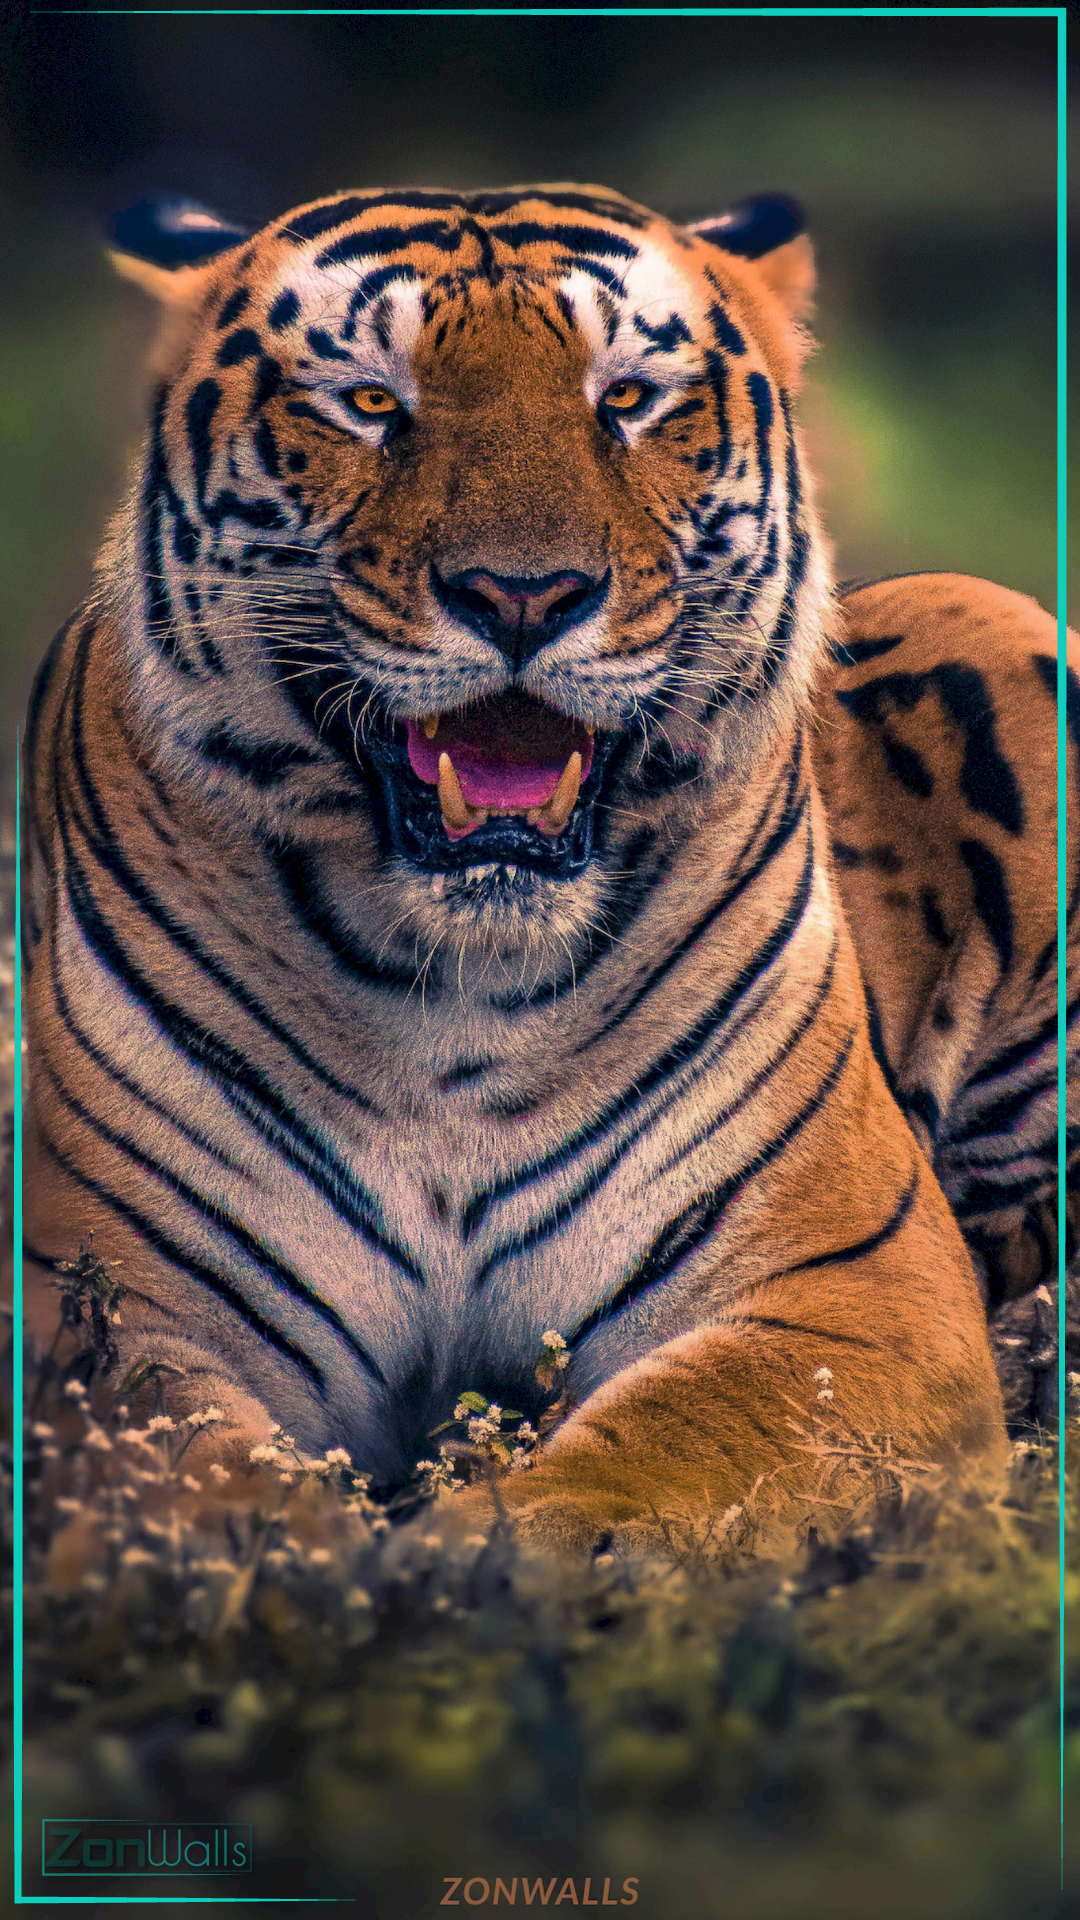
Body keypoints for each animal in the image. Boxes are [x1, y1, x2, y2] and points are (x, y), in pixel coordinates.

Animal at [21, 182, 1074, 1554]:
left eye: (624, 398)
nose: (522, 595)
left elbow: (675, 1448)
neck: (458, 990)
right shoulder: (114, 1305)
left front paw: (483, 1560)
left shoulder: (853, 1285)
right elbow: (197, 1486)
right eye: (372, 402)